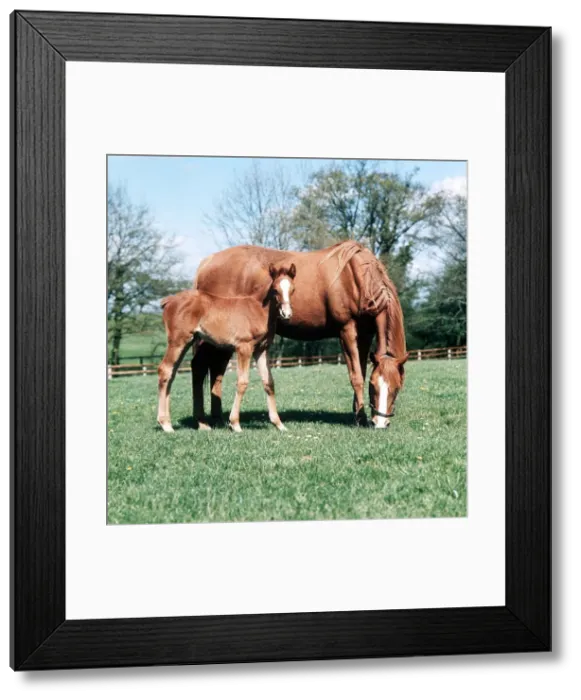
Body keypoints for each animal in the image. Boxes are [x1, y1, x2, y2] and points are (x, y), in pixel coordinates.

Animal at [156, 263, 296, 433]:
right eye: (275, 289)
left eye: (292, 289)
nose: (286, 314)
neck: (258, 308)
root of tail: (168, 300)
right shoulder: (244, 348)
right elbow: (242, 382)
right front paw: (235, 423)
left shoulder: (261, 350)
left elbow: (268, 382)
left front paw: (279, 424)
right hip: (178, 341)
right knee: (165, 370)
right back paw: (166, 424)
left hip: (186, 342)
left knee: (171, 373)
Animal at [190, 241, 409, 430]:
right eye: (374, 386)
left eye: (397, 387)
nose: (381, 423)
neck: (355, 275)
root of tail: (207, 262)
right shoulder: (346, 330)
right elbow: (356, 377)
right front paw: (361, 418)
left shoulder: (365, 335)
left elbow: (362, 372)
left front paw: (357, 414)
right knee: (199, 368)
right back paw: (202, 422)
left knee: (216, 371)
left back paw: (218, 419)